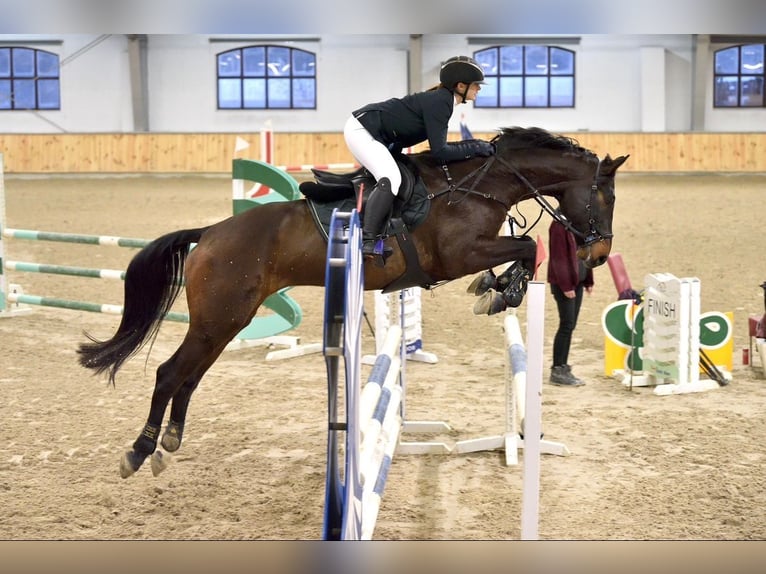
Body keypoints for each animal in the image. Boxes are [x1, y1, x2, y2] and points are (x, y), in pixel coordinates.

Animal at [77, 126, 628, 478]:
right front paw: (499, 292)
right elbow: (529, 246)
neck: (477, 185)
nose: (599, 255)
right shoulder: (459, 254)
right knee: (170, 372)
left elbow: (524, 248)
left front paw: (495, 289)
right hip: (219, 317)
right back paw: (139, 451)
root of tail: (210, 233)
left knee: (189, 376)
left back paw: (168, 443)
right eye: (606, 198)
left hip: (227, 320)